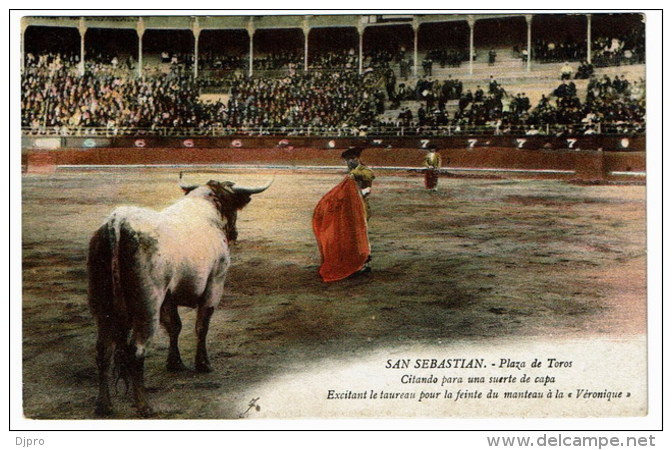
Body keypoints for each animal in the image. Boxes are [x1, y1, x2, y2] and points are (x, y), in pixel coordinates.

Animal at [86, 174, 270, 416]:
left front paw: (175, 363)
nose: (234, 233)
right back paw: (144, 406)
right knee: (136, 350)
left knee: (103, 350)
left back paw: (104, 405)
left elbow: (174, 325)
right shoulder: (214, 284)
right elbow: (201, 326)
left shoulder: (169, 297)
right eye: (232, 204)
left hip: (103, 306)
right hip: (147, 305)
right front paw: (203, 364)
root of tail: (118, 222)